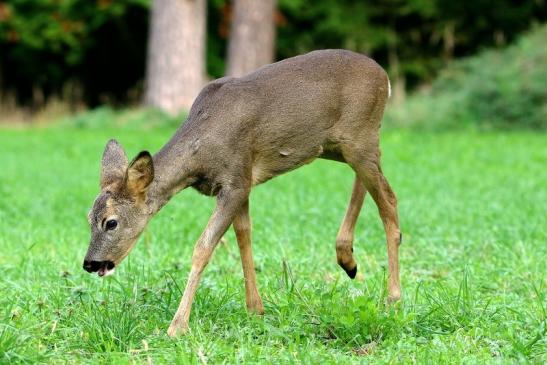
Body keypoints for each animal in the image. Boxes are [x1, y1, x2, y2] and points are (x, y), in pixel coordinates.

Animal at [84, 49, 402, 336]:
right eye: (88, 217)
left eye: (111, 222)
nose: (89, 263)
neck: (201, 150)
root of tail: (385, 78)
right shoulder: (243, 180)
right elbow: (243, 235)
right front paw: (255, 308)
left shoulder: (235, 179)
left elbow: (203, 247)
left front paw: (177, 326)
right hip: (339, 145)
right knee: (372, 174)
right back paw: (347, 258)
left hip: (358, 135)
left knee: (388, 199)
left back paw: (393, 297)